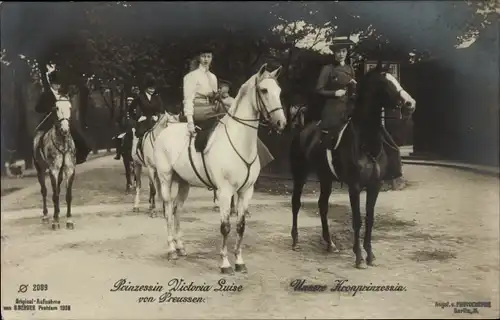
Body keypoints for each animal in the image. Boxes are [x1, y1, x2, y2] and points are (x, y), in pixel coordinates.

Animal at [154, 64, 288, 272]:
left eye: (279, 91)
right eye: (264, 90)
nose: (281, 123)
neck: (240, 140)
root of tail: (166, 130)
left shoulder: (246, 192)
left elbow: (240, 226)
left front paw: (239, 261)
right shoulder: (225, 192)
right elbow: (225, 227)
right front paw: (225, 263)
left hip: (184, 183)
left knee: (177, 209)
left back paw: (180, 247)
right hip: (165, 178)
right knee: (168, 210)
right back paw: (171, 250)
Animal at [292, 64, 416, 268]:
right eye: (385, 83)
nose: (410, 103)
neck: (366, 143)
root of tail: (303, 129)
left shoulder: (375, 186)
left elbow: (370, 219)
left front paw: (370, 254)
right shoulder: (355, 187)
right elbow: (357, 220)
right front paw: (358, 256)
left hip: (325, 178)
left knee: (322, 206)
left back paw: (330, 243)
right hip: (299, 174)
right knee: (296, 203)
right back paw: (295, 240)